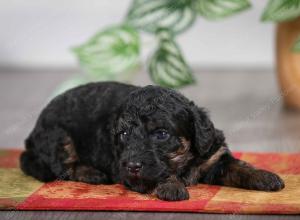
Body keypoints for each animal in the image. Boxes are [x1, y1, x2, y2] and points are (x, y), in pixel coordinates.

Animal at [19, 81, 284, 200]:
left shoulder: (214, 156)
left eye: (161, 134)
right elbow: (156, 175)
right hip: (58, 135)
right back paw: (91, 173)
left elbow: (240, 166)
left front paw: (266, 176)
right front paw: (171, 186)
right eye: (123, 135)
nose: (132, 165)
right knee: (62, 166)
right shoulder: (128, 171)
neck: (183, 160)